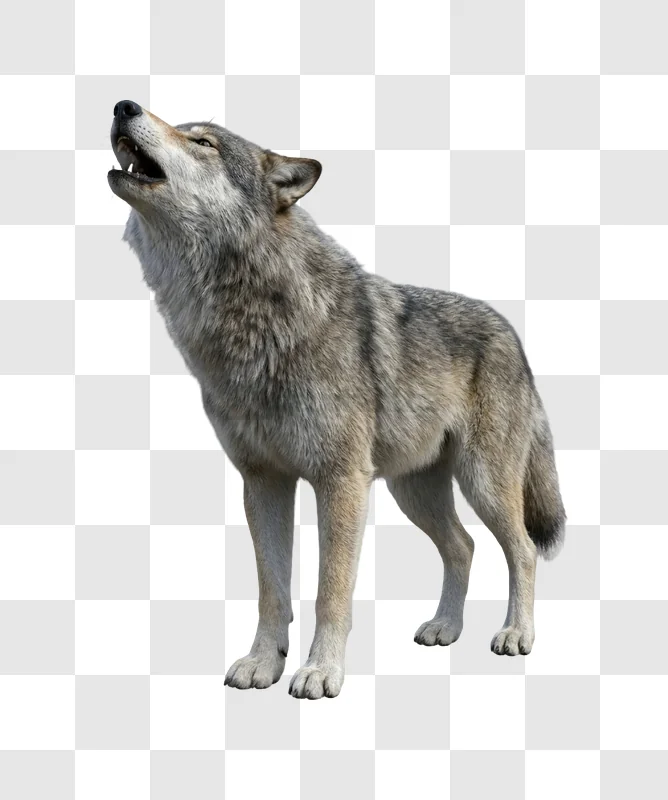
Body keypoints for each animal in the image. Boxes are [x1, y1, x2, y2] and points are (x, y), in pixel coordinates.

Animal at [108, 100, 566, 699]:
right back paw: (445, 627)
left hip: (482, 482)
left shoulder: (340, 481)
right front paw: (264, 664)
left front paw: (320, 672)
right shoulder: (263, 482)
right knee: (463, 546)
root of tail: (512, 332)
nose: (123, 105)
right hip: (411, 491)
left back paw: (516, 633)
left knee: (523, 550)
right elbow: (272, 591)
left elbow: (330, 590)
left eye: (203, 142)